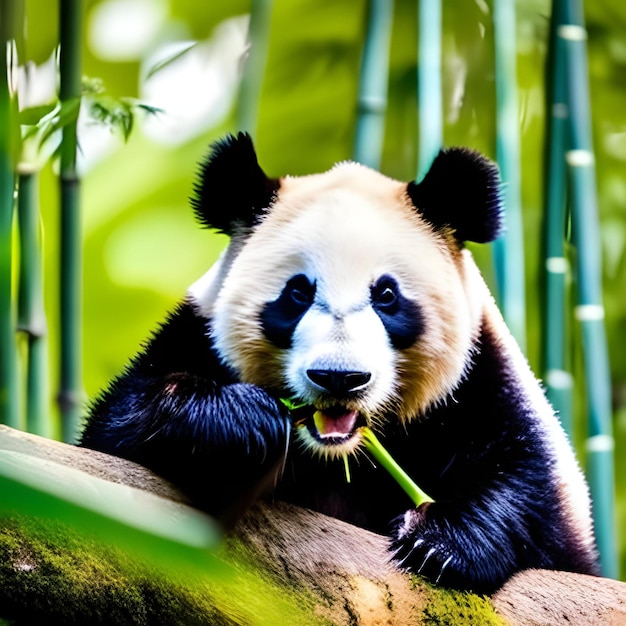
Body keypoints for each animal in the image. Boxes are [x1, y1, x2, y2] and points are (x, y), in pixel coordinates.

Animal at [80, 130, 596, 588]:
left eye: (386, 295)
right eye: (298, 293)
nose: (339, 378)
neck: (336, 455)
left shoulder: (480, 377)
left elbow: (528, 484)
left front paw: (439, 543)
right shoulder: (195, 334)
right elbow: (121, 424)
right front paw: (245, 422)